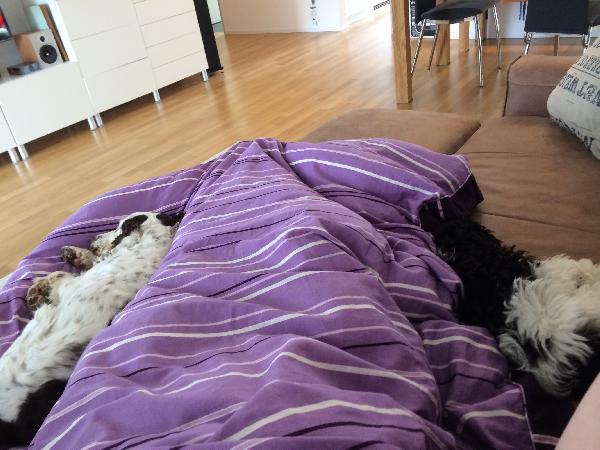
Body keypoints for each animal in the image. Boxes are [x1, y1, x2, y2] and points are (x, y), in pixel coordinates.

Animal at [0, 212, 182, 446]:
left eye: (118, 227)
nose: (92, 239)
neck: (150, 245)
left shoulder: (71, 284)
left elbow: (58, 276)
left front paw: (36, 291)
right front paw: (73, 253)